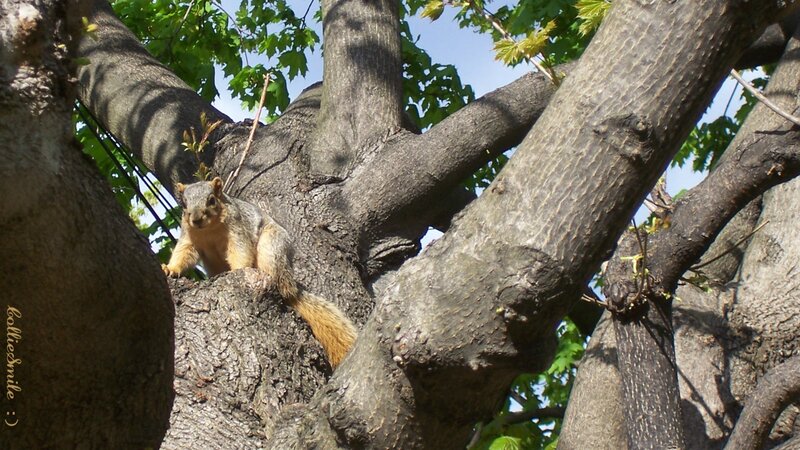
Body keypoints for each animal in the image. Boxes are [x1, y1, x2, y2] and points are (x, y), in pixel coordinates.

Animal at [162, 177, 357, 368]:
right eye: (184, 204)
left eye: (211, 200)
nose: (195, 219)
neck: (209, 229)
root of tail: (292, 286)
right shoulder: (188, 238)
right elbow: (183, 253)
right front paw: (169, 269)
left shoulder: (237, 230)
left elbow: (241, 250)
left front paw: (238, 269)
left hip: (271, 248)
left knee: (279, 281)